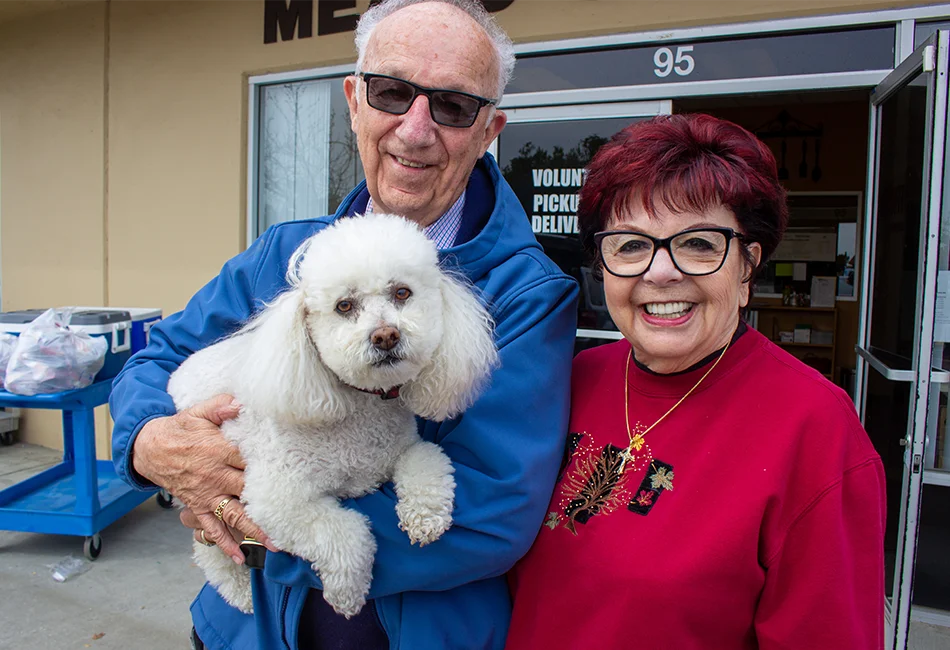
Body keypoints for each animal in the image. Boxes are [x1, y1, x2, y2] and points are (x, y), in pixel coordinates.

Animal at [166, 214, 498, 616]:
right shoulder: (276, 499)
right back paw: (241, 592)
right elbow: (345, 533)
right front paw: (347, 593)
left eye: (402, 293)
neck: (361, 407)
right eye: (344, 305)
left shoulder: (402, 450)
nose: (385, 336)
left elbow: (428, 459)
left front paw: (425, 516)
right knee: (208, 548)